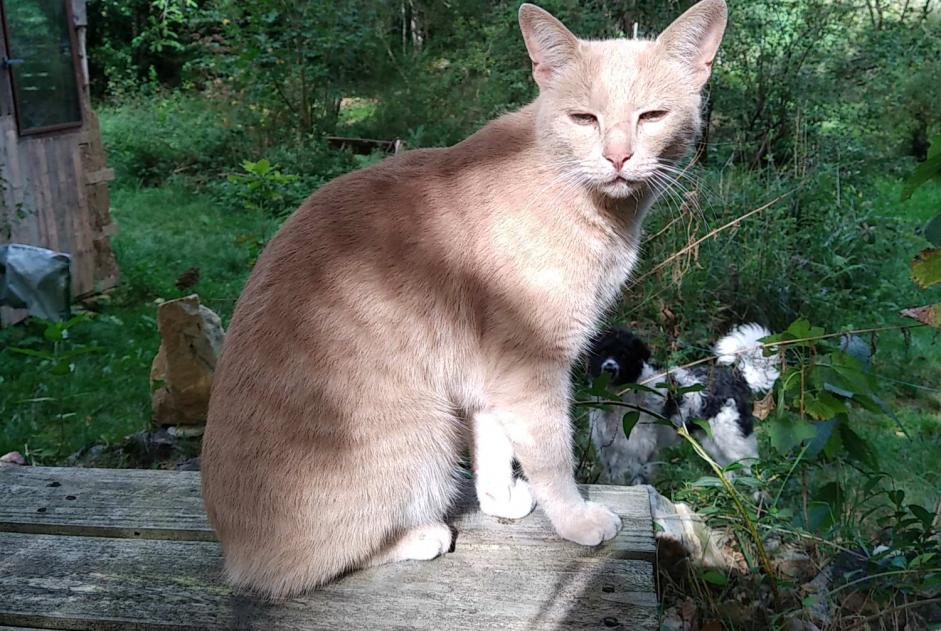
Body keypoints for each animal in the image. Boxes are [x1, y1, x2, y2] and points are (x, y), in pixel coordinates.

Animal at [198, 0, 728, 600]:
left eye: (651, 116)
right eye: (584, 120)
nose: (618, 157)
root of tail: (233, 551)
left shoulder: (492, 377)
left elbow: (495, 454)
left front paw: (503, 504)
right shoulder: (533, 369)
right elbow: (552, 456)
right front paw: (576, 520)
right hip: (427, 435)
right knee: (308, 565)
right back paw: (422, 535)